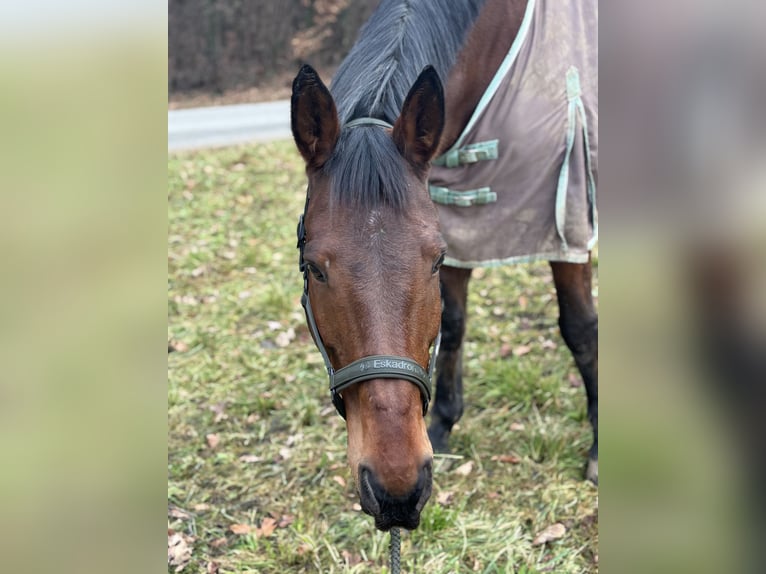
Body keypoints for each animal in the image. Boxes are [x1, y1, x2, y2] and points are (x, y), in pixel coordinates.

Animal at [290, 0, 598, 532]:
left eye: (432, 260)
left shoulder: (566, 223)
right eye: (315, 269)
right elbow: (452, 324)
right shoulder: (457, 215)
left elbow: (579, 327)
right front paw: (445, 422)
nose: (396, 490)